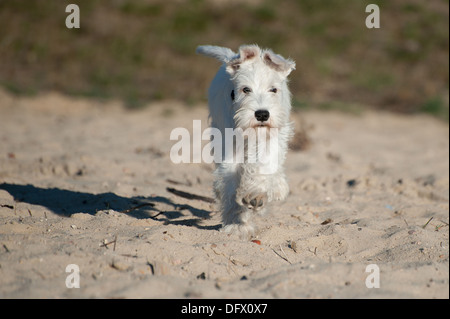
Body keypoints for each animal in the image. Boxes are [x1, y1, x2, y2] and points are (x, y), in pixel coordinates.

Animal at [196, 44, 296, 238]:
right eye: (246, 89)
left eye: (273, 89)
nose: (262, 114)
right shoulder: (229, 149)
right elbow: (230, 184)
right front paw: (237, 224)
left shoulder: (270, 138)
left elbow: (264, 165)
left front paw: (256, 195)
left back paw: (278, 187)